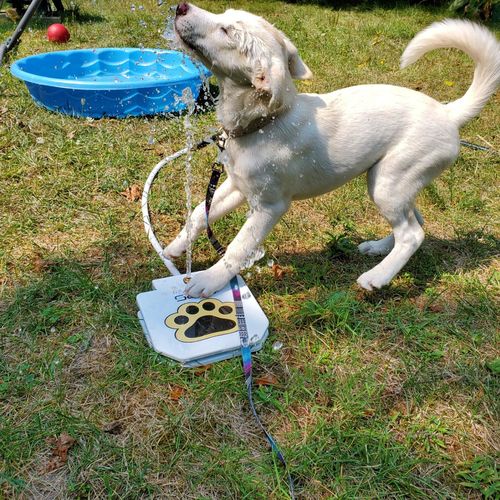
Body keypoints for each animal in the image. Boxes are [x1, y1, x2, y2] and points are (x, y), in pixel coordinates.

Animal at [166, 1, 498, 296]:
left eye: (227, 30)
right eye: (224, 15)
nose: (181, 6)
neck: (263, 123)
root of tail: (448, 113)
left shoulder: (269, 206)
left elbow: (238, 247)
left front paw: (208, 280)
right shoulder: (237, 185)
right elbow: (199, 214)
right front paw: (175, 248)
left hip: (388, 182)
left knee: (413, 234)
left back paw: (377, 277)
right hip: (397, 182)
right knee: (415, 221)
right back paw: (378, 248)